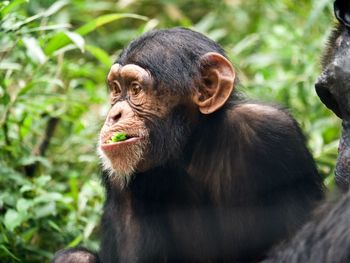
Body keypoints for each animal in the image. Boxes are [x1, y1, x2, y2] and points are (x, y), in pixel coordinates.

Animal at [51, 26, 322, 262]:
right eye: (116, 89)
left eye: (136, 89)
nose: (114, 114)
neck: (192, 147)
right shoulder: (119, 178)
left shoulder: (277, 135)